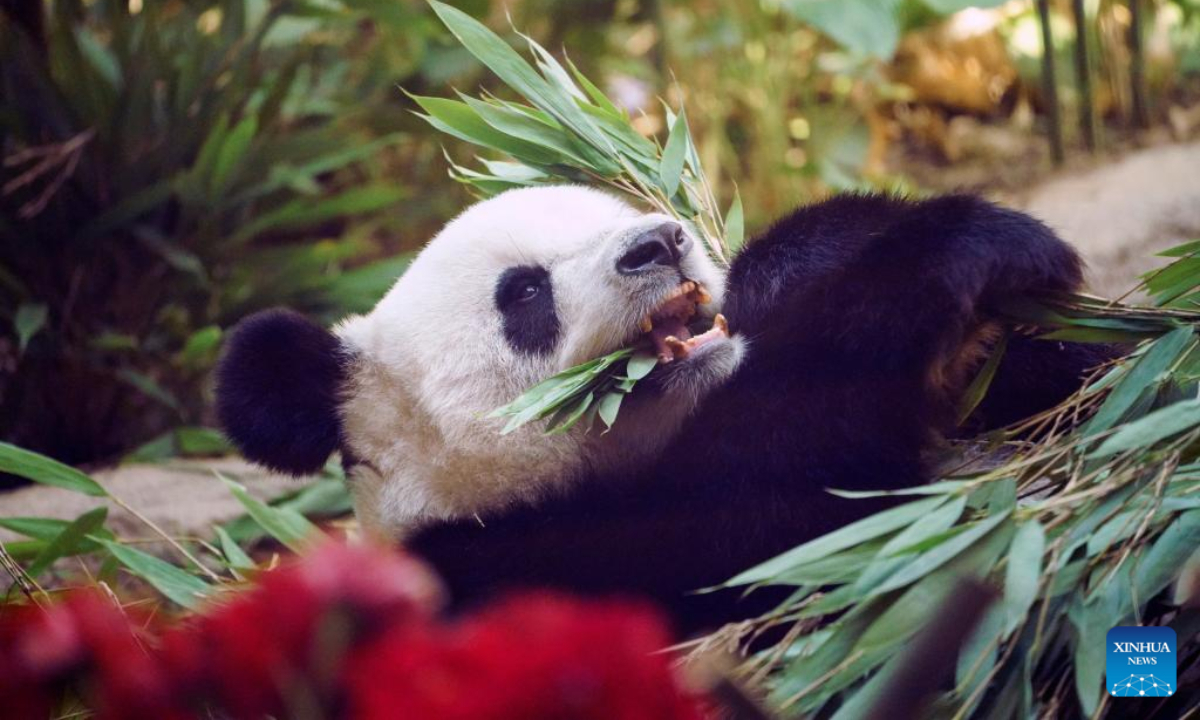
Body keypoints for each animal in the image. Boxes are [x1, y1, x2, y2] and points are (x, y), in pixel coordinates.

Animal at [215, 186, 1110, 633]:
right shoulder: (509, 578)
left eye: (614, 216)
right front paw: (960, 248)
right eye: (524, 293)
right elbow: (768, 515)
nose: (658, 243)